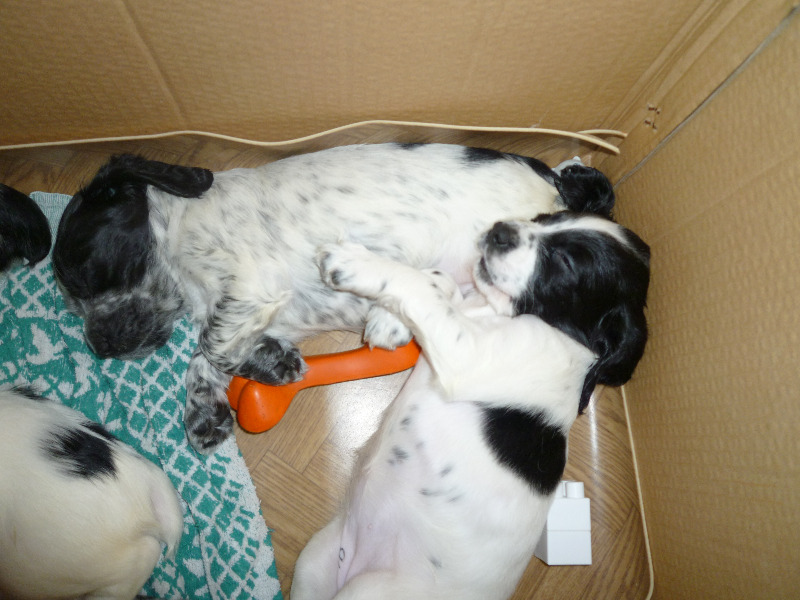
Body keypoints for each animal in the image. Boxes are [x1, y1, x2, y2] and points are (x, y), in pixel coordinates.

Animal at [52, 143, 615, 453]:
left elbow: (210, 350)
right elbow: (216, 356)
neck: (174, 234)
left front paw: (254, 375)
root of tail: (558, 183)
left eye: (89, 274)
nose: (99, 347)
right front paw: (231, 395)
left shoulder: (247, 286)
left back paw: (390, 321)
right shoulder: (261, 312)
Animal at [291, 211, 650, 600]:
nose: (500, 230)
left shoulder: (469, 351)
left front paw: (358, 263)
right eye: (548, 218)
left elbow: (420, 288)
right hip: (315, 560)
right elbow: (440, 282)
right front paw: (390, 319)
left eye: (565, 262)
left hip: (369, 591)